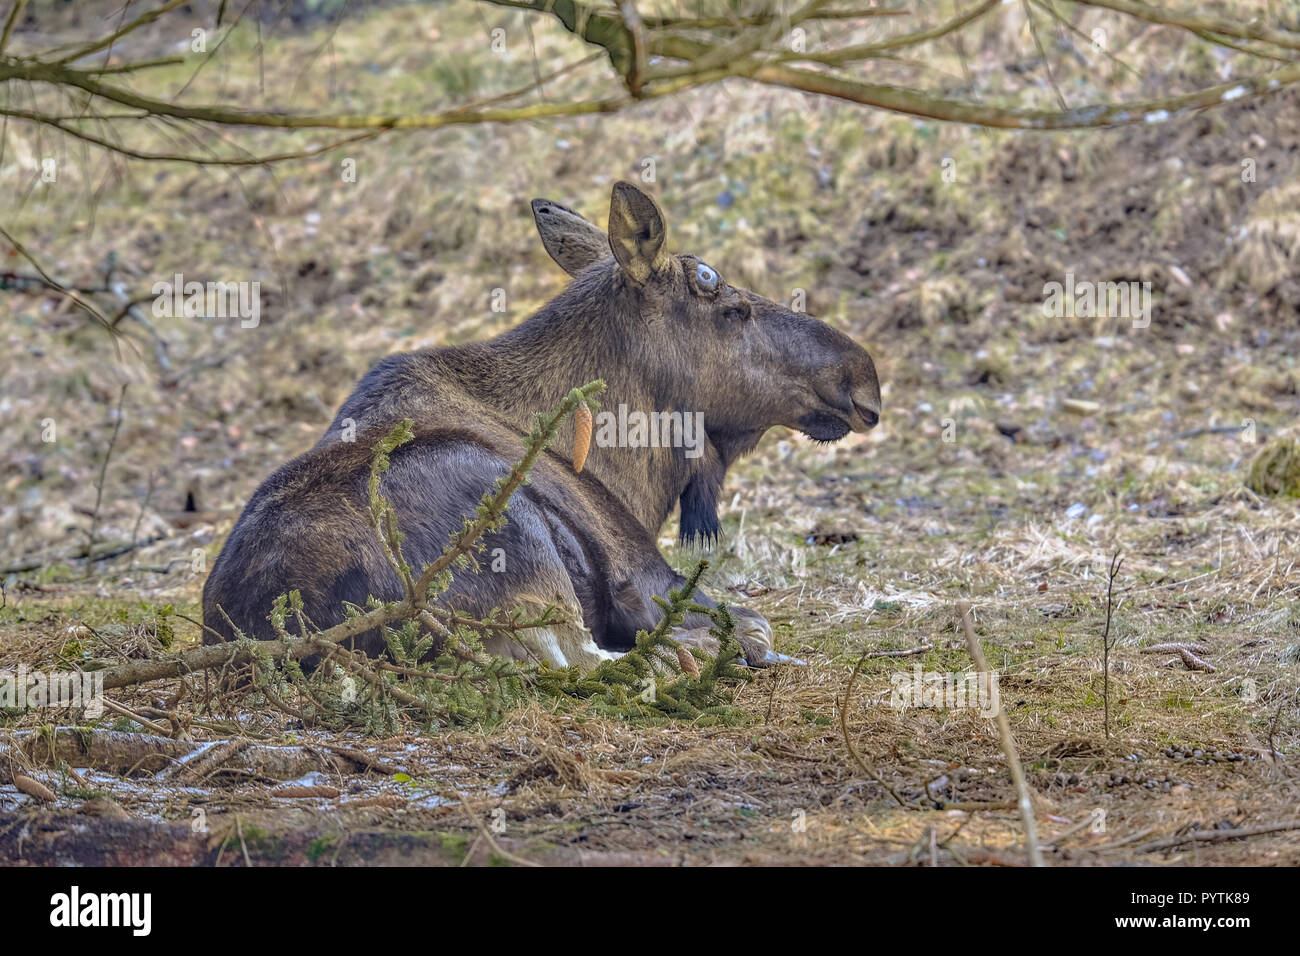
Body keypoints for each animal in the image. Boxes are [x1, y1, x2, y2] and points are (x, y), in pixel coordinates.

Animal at [197, 183, 878, 671]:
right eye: (731, 309)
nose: (863, 377)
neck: (630, 469)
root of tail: (297, 637)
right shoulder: (646, 576)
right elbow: (753, 620)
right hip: (519, 549)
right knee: (590, 660)